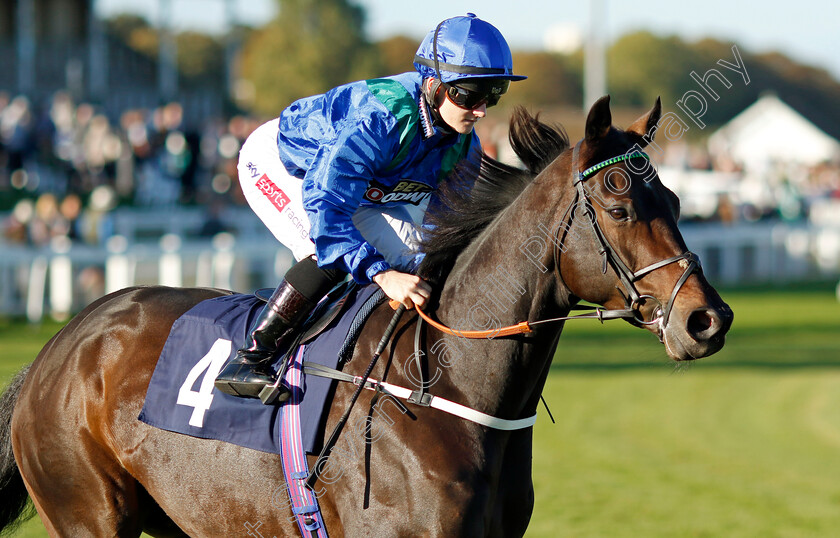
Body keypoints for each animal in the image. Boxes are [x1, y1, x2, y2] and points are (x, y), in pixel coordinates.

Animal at [0, 97, 732, 536]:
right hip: (88, 512)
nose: (708, 319)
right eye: (620, 206)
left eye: (673, 198)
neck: (445, 385)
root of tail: (61, 344)